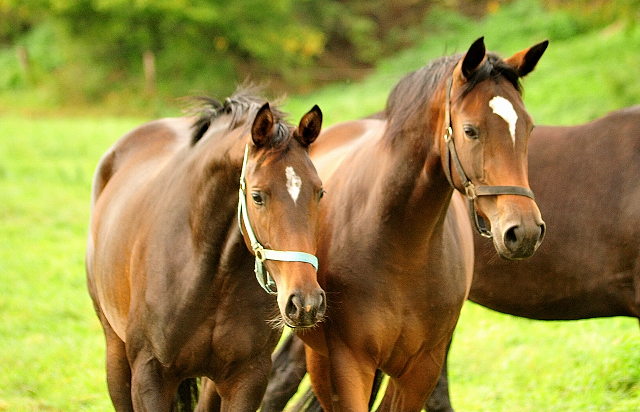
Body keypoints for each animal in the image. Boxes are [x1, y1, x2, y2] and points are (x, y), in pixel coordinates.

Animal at [254, 36, 544, 412]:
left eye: (529, 127)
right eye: (470, 130)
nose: (524, 232)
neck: (401, 245)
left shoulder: (422, 369)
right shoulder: (350, 363)